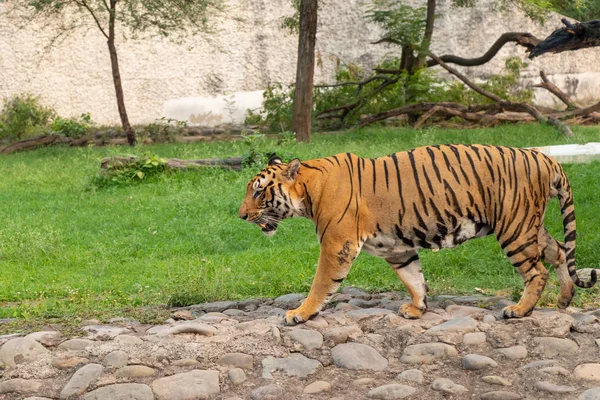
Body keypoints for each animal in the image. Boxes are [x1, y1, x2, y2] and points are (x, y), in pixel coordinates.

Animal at [238, 144, 596, 324]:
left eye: (258, 191)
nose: (241, 216)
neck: (307, 191)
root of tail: (545, 157)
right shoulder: (397, 248)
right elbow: (413, 278)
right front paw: (418, 308)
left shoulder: (337, 245)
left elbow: (320, 284)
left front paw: (300, 313)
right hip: (529, 225)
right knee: (560, 250)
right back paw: (564, 300)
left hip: (514, 228)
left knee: (536, 272)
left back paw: (519, 311)